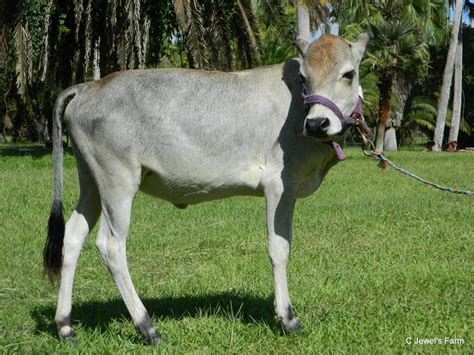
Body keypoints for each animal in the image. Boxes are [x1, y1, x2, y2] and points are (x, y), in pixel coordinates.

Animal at [44, 34, 368, 344]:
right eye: (303, 77)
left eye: (348, 73)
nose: (317, 123)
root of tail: (90, 85)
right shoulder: (279, 186)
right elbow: (279, 248)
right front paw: (287, 318)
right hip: (117, 182)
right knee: (111, 245)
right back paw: (147, 327)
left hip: (91, 182)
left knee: (72, 236)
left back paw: (65, 326)